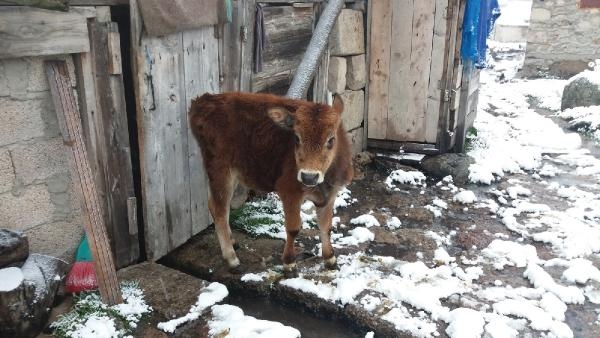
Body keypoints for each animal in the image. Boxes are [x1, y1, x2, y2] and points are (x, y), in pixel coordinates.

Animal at [190, 91, 354, 270]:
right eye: (296, 138)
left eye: (331, 140)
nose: (308, 176)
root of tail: (203, 100)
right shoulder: (289, 192)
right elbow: (293, 228)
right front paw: (289, 262)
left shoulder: (330, 195)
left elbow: (326, 227)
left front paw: (330, 258)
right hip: (220, 170)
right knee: (220, 209)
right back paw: (231, 258)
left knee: (216, 206)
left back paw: (232, 242)